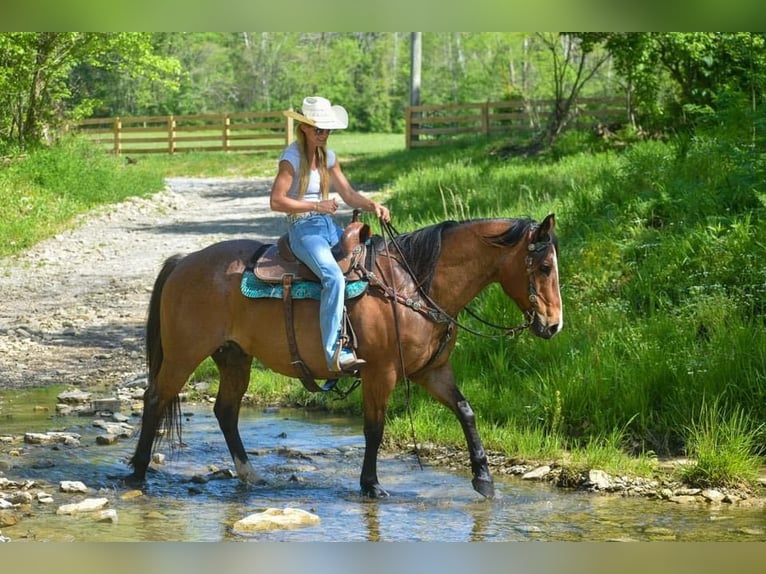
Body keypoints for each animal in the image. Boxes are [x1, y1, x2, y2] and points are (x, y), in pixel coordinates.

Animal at [126, 214, 564, 502]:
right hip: (184, 354)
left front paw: (484, 479)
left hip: (234, 358)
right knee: (156, 398)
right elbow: (374, 428)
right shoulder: (381, 373)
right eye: (544, 266)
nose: (554, 325)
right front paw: (371, 484)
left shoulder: (432, 372)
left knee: (225, 411)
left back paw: (249, 474)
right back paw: (137, 474)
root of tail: (183, 263)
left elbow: (466, 411)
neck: (415, 286)